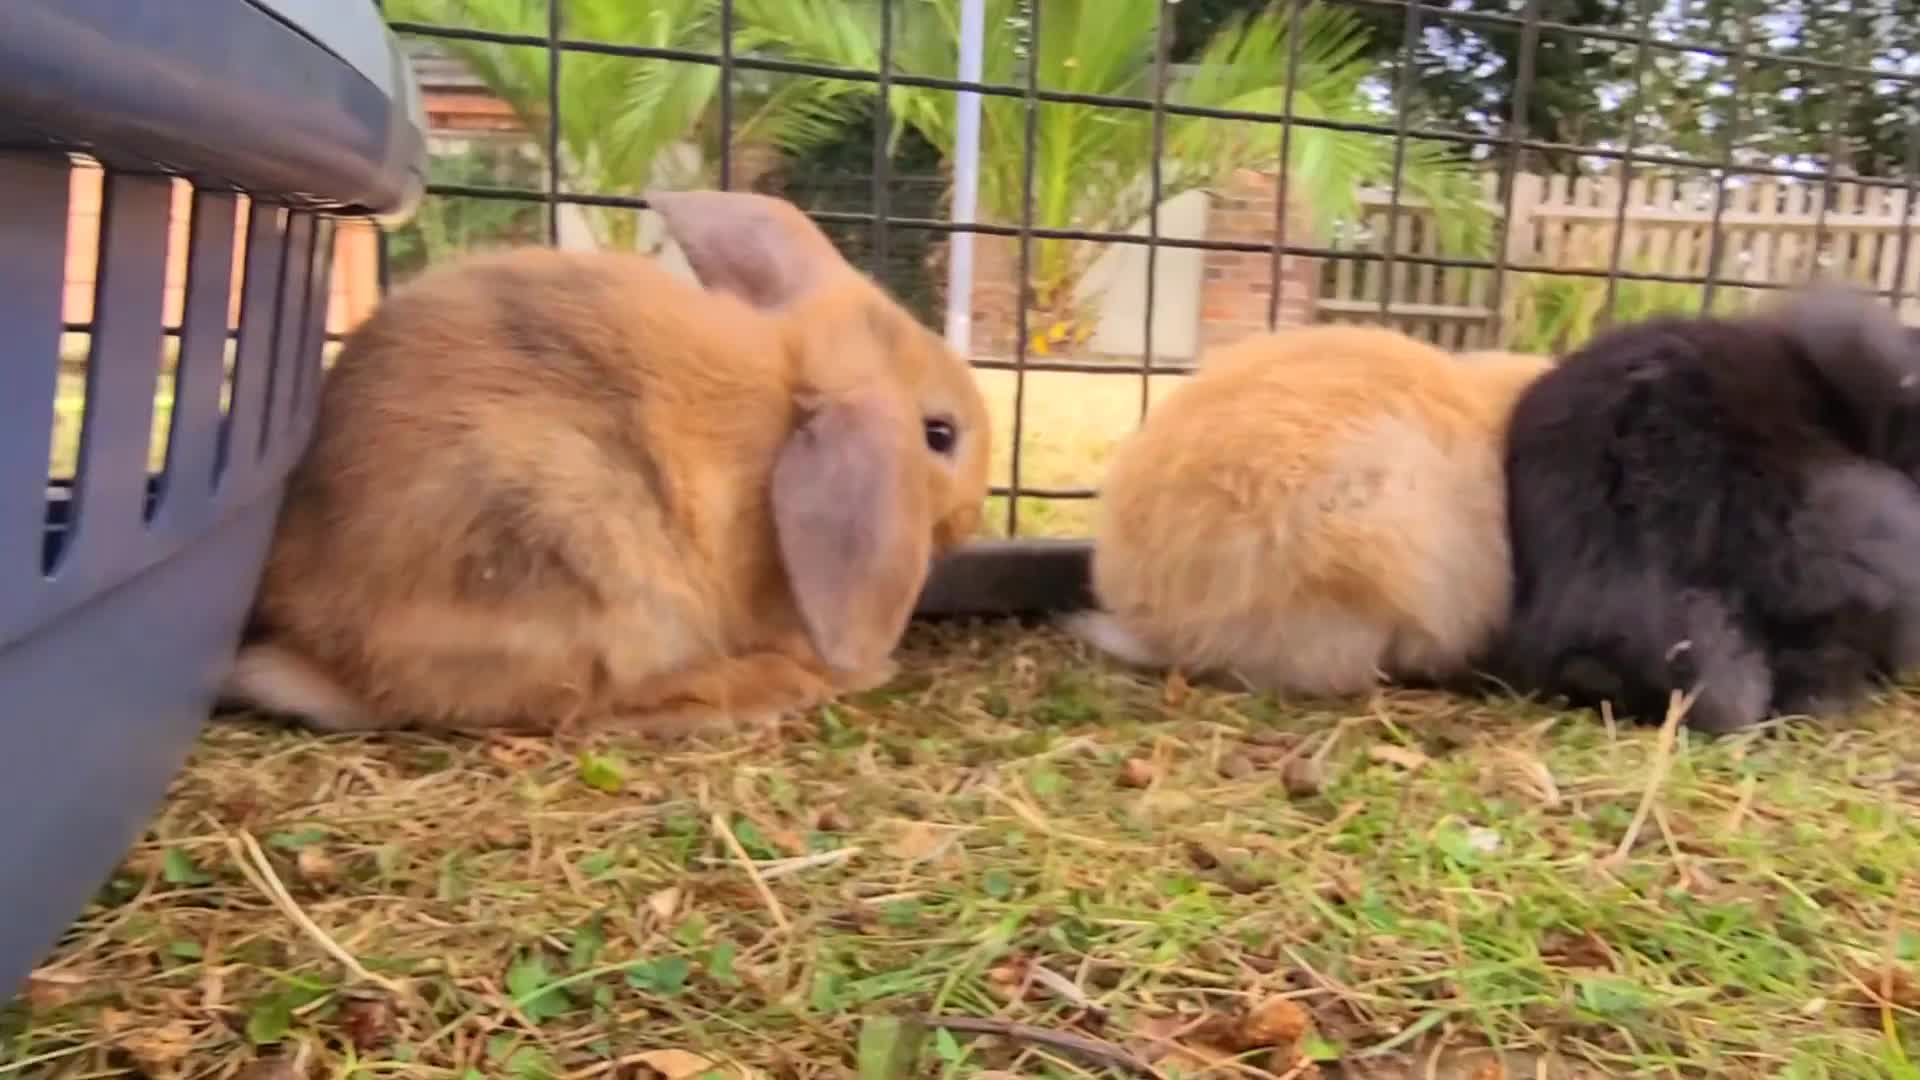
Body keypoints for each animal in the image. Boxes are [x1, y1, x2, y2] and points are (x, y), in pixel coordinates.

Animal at [219, 189, 992, 738]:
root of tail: (314, 646)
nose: (969, 520)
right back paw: (766, 689)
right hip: (596, 560)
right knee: (590, 705)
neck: (784, 393)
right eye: (940, 434)